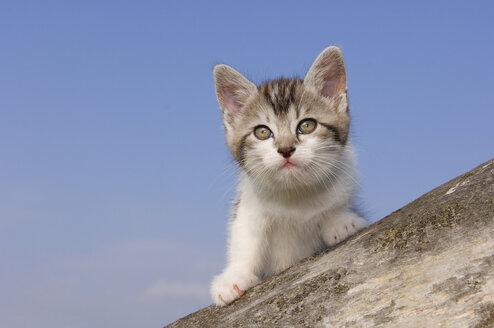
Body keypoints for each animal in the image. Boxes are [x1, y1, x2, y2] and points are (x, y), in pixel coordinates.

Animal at [208, 45, 366, 304]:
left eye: (307, 125)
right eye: (262, 132)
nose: (285, 149)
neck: (294, 194)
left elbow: (336, 202)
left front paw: (341, 222)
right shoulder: (249, 204)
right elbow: (245, 236)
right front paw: (234, 276)